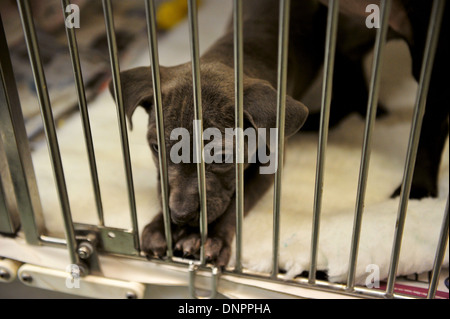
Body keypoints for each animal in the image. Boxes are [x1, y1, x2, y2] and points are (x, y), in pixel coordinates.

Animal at [113, 0, 450, 266]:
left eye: (221, 156)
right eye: (156, 148)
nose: (181, 216)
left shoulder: (269, 164)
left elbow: (238, 202)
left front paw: (212, 240)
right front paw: (161, 228)